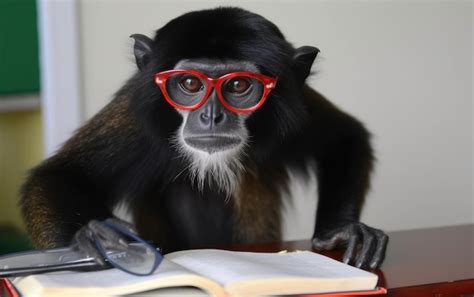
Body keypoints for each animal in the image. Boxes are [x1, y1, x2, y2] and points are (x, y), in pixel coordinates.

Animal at [20, 7, 386, 268]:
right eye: (190, 84)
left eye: (238, 85)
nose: (211, 116)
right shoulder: (136, 115)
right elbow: (58, 175)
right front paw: (95, 241)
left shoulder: (297, 101)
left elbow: (344, 138)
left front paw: (339, 231)